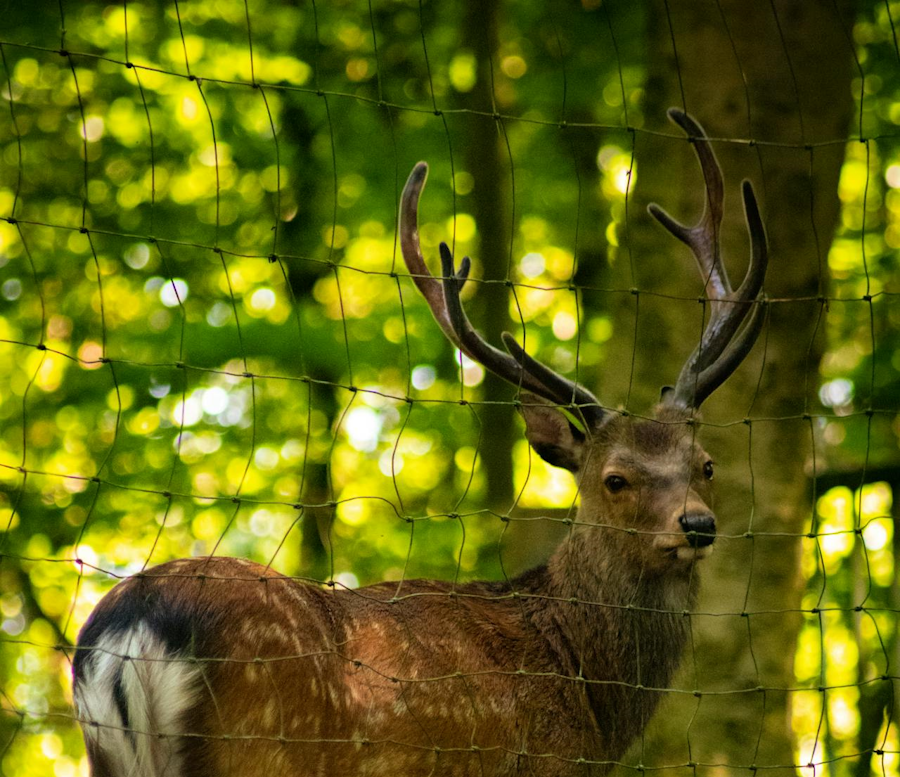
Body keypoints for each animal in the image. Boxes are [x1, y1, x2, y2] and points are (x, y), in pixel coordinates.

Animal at [74, 109, 768, 776]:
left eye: (706, 465)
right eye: (614, 478)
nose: (697, 525)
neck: (590, 705)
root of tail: (130, 632)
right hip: (260, 750)